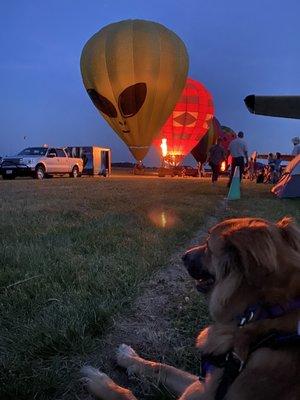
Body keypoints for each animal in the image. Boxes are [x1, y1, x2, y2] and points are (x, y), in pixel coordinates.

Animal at [81, 217, 300, 398]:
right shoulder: (205, 381)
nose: (183, 255)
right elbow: (165, 367)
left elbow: (127, 394)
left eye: (208, 245)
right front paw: (130, 359)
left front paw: (100, 382)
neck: (261, 313)